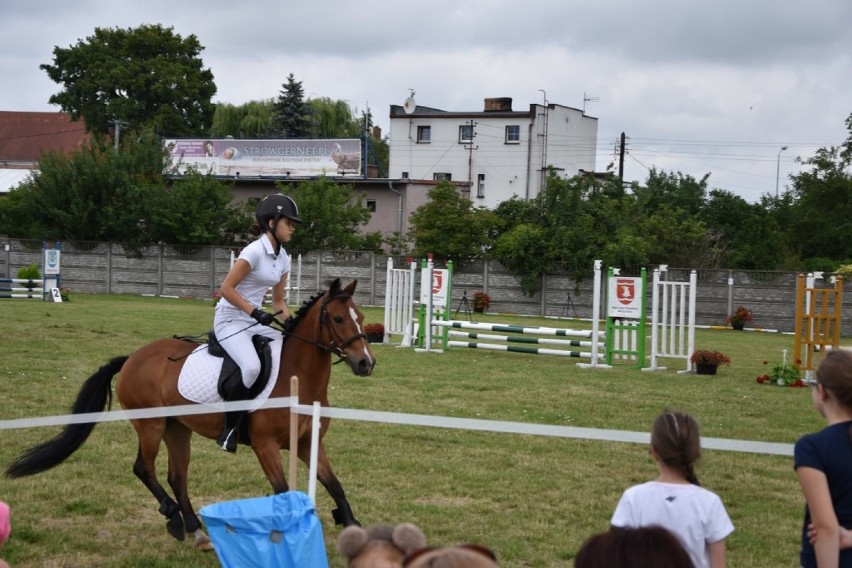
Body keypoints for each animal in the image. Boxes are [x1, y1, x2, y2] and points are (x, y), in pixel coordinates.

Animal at [5, 280, 372, 552]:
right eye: (338, 319)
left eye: (360, 316)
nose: (366, 363)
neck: (298, 378)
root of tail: (133, 357)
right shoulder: (266, 447)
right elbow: (282, 491)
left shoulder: (310, 442)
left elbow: (335, 485)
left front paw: (352, 528)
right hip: (150, 425)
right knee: (144, 468)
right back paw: (174, 518)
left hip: (177, 428)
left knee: (176, 476)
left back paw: (196, 529)